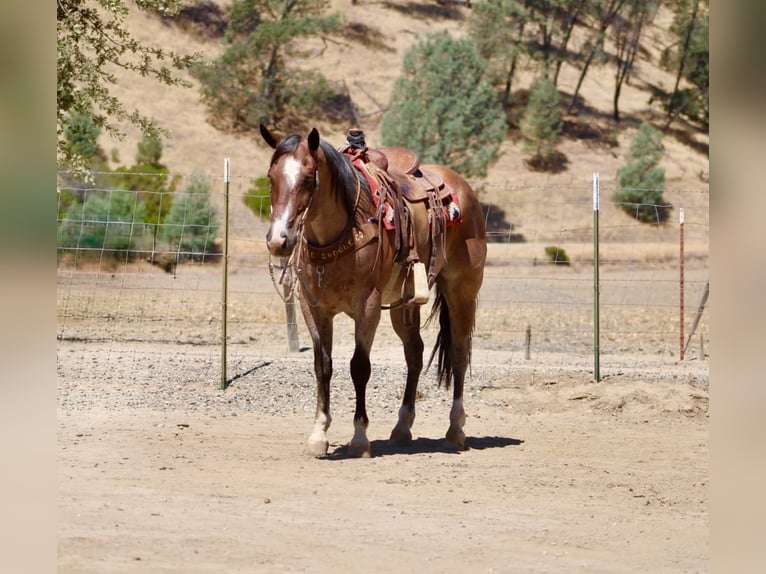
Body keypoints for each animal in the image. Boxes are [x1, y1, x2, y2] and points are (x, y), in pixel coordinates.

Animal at [259, 124, 487, 457]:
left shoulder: (367, 307)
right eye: (270, 177)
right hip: (405, 304)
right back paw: (402, 427)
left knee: (458, 352)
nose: (279, 241)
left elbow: (359, 367)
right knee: (415, 353)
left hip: (461, 291)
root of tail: (464, 189)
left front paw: (359, 437)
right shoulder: (313, 308)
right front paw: (318, 435)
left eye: (309, 178)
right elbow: (322, 366)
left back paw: (456, 429)